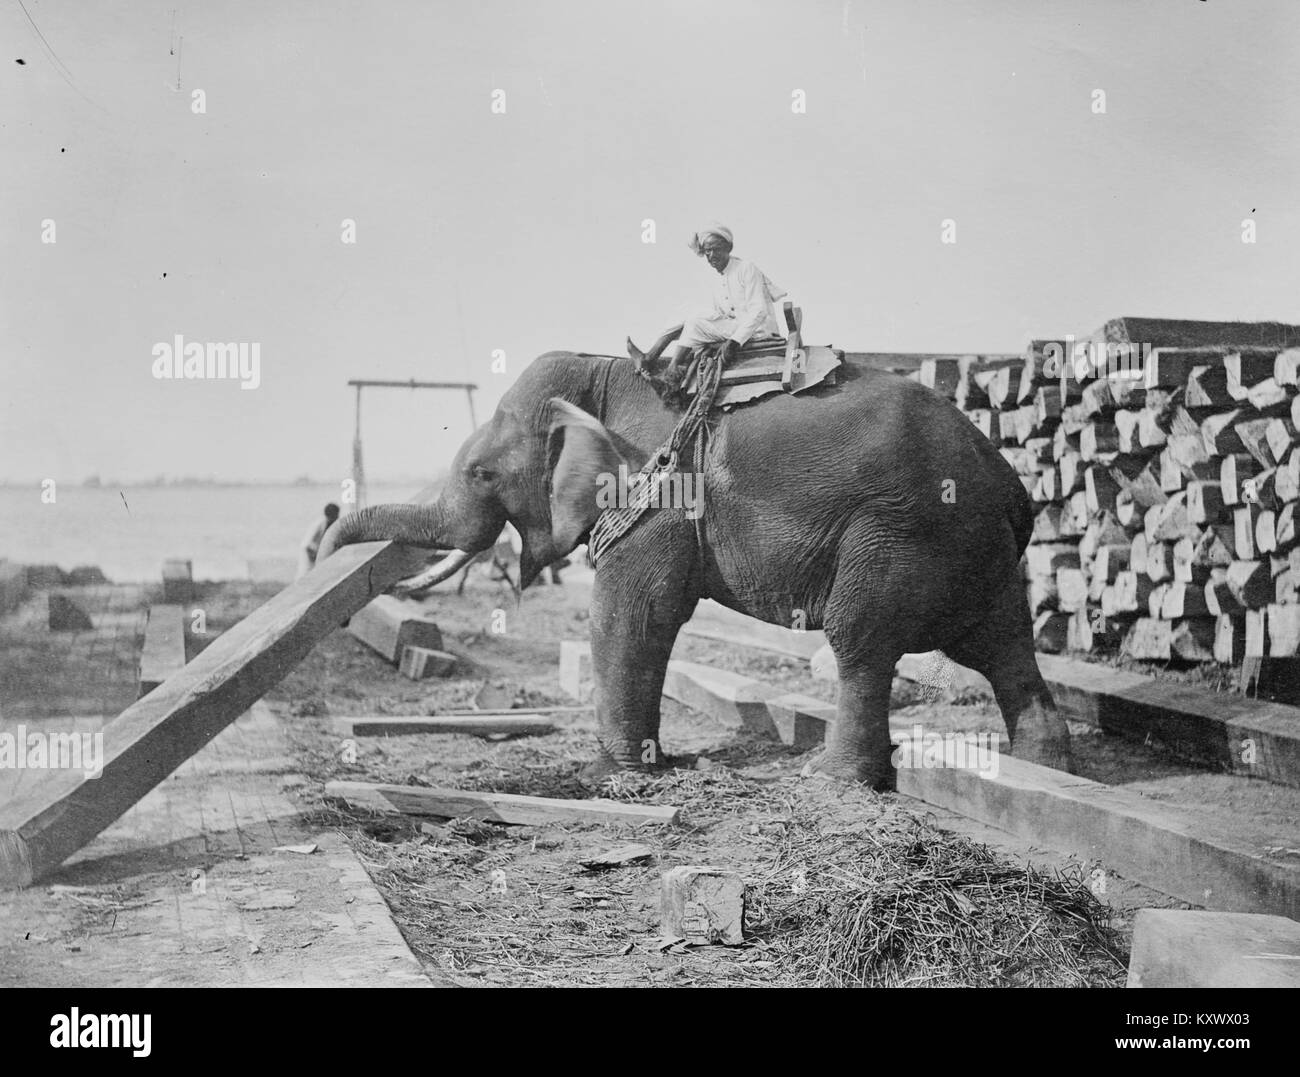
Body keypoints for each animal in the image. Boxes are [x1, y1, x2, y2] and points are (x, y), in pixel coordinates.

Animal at [319, 345, 1071, 790]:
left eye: (481, 472)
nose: (331, 562)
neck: (603, 375)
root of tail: (1007, 480)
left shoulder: (658, 495)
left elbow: (632, 615)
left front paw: (613, 778)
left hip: (897, 534)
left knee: (862, 641)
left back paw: (828, 779)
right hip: (976, 553)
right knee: (1002, 644)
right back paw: (1037, 764)